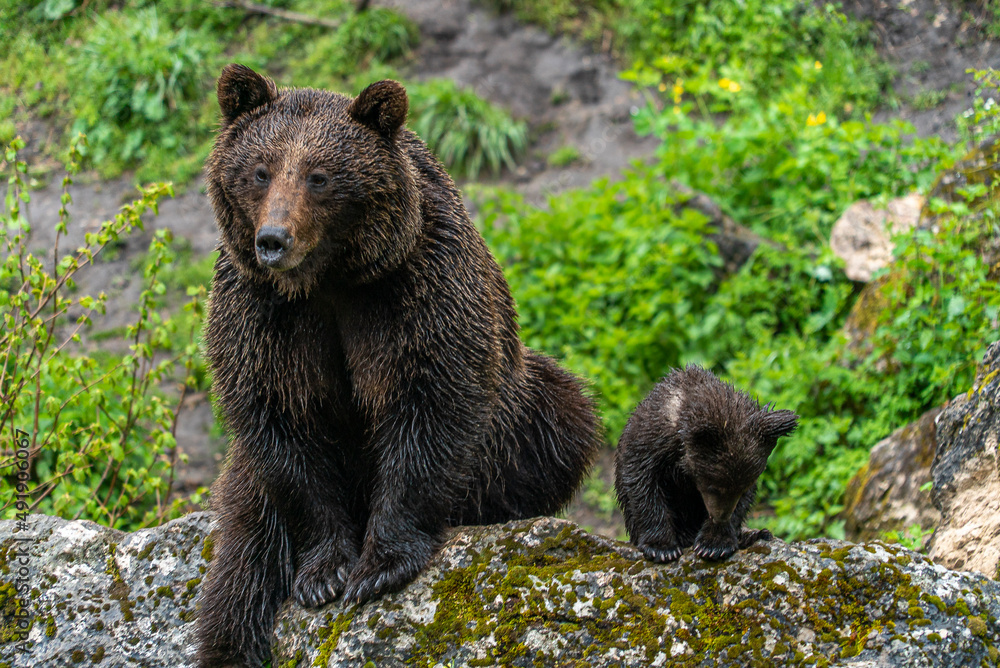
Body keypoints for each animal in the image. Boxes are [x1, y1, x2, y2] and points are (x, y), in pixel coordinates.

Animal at [193, 64, 602, 667]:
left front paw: (379, 567)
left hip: (516, 419)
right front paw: (324, 572)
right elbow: (288, 431)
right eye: (260, 171)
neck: (327, 278)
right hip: (245, 483)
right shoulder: (264, 318)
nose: (273, 241)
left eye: (319, 176)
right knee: (241, 568)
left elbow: (430, 404)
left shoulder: (414, 289)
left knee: (561, 418)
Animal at [614, 365, 798, 563]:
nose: (720, 517)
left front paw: (713, 545)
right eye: (713, 487)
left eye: (741, 489)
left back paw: (756, 534)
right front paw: (662, 548)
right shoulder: (649, 444)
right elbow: (644, 486)